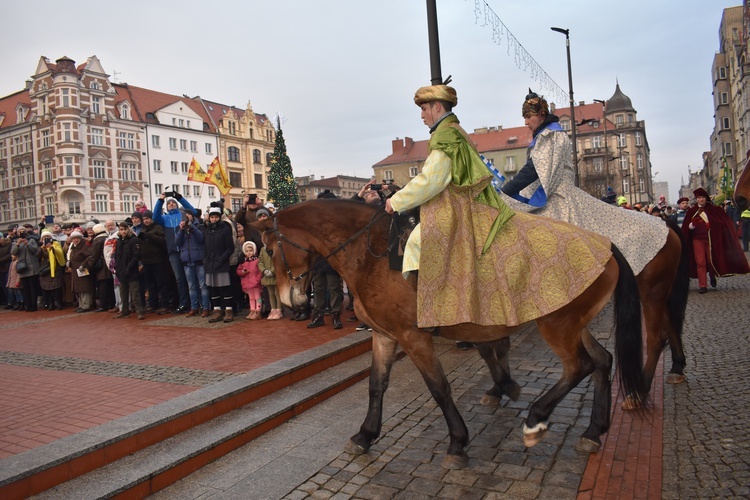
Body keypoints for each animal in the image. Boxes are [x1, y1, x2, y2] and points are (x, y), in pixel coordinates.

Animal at [253, 200, 648, 468]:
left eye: (269, 249)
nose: (291, 301)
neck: (370, 256)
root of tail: (606, 245)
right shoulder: (384, 335)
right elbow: (376, 385)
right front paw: (365, 434)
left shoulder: (413, 337)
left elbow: (439, 388)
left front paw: (458, 442)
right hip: (575, 324)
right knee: (602, 361)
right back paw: (593, 431)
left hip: (558, 324)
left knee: (579, 367)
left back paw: (536, 419)